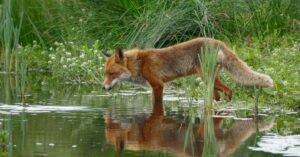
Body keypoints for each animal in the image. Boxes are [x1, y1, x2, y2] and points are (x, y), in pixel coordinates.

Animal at [102, 37, 274, 114]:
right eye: (105, 74)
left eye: (112, 74)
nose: (103, 88)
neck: (140, 64)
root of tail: (218, 41)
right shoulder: (153, 87)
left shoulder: (158, 85)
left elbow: (157, 105)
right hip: (210, 81)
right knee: (217, 96)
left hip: (207, 78)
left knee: (229, 90)